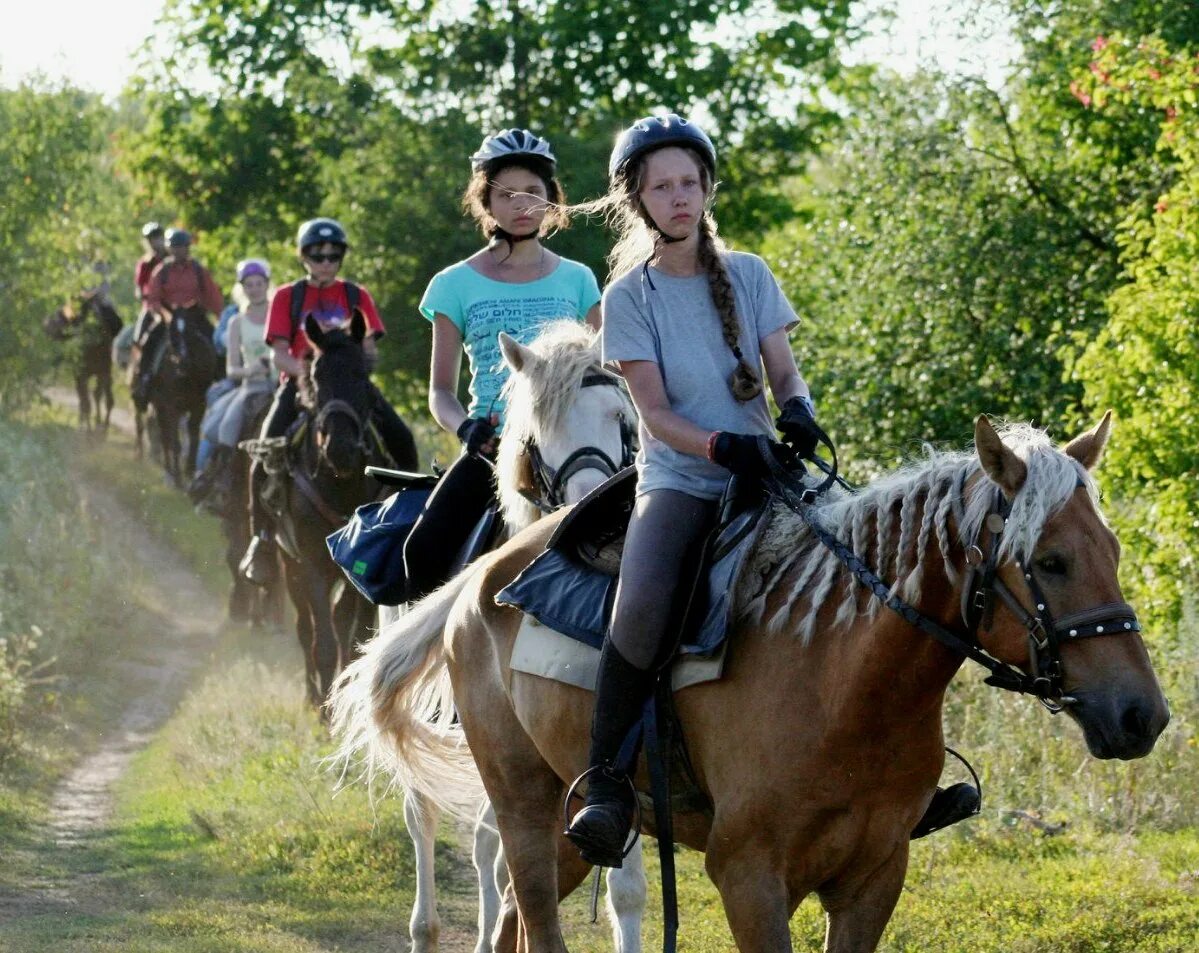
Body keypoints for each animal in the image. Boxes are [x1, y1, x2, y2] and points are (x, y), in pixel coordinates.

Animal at [333, 321, 652, 953]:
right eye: (534, 433)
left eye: (622, 419)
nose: (593, 503)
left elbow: (621, 883)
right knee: (424, 815)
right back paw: (426, 930)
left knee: (485, 842)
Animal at [333, 414, 1165, 953]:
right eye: (1051, 561)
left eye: (1114, 550)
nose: (1141, 716)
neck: (844, 683)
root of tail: (480, 581)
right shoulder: (748, 878)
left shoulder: (873, 877)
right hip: (523, 802)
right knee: (532, 916)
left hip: (571, 819)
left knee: (510, 914)